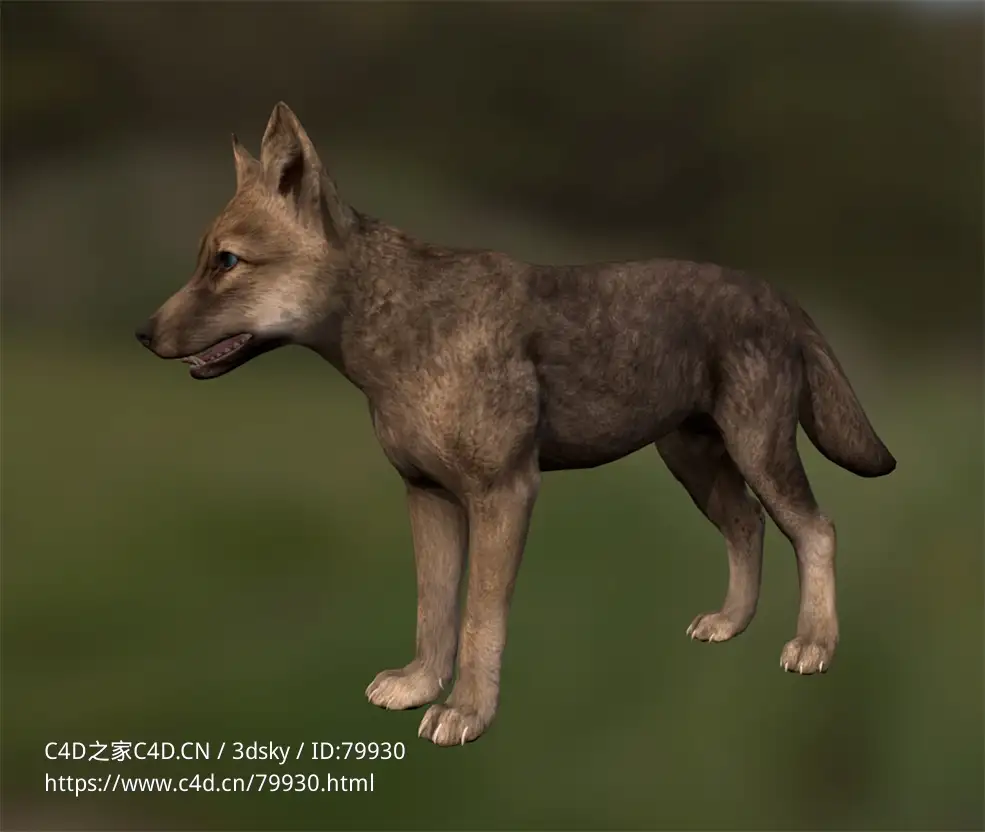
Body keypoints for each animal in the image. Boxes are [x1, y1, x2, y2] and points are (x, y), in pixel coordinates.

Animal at [136, 103, 896, 746]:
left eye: (227, 262)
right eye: (204, 259)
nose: (142, 333)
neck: (398, 328)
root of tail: (778, 293)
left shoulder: (504, 493)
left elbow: (478, 620)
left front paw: (465, 715)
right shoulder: (427, 497)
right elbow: (433, 610)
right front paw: (419, 688)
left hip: (757, 452)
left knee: (817, 530)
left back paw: (813, 647)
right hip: (695, 464)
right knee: (748, 527)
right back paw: (729, 625)